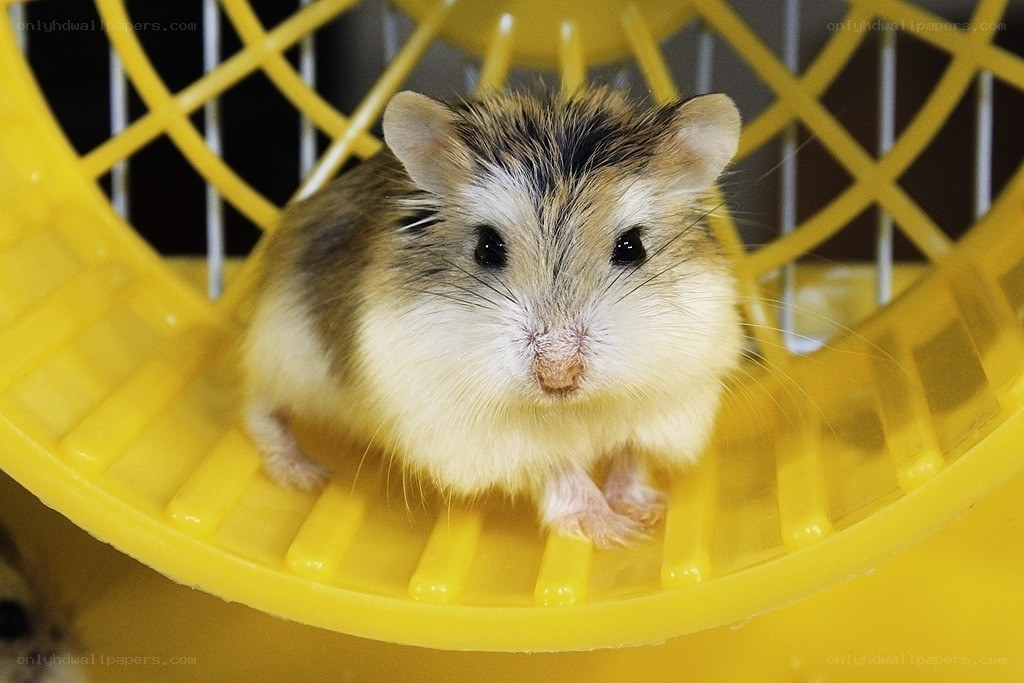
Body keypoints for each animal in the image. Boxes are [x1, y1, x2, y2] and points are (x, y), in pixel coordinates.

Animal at [241, 86, 743, 547]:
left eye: (632, 247)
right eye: (487, 248)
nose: (558, 376)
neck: (571, 411)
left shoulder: (665, 405)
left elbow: (630, 457)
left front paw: (647, 514)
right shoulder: (490, 439)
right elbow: (561, 470)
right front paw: (615, 531)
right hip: (284, 354)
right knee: (258, 409)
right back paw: (303, 472)